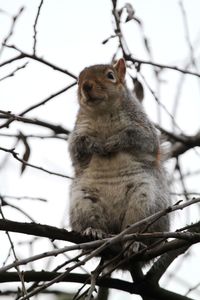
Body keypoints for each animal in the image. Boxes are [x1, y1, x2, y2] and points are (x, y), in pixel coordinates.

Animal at [69, 59, 170, 258]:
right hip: (83, 202)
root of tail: (115, 234)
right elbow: (77, 148)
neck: (102, 113)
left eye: (110, 75)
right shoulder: (78, 133)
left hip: (145, 203)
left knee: (138, 229)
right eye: (78, 80)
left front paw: (113, 142)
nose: (86, 86)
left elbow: (139, 138)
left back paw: (133, 243)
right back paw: (94, 233)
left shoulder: (142, 127)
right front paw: (96, 145)